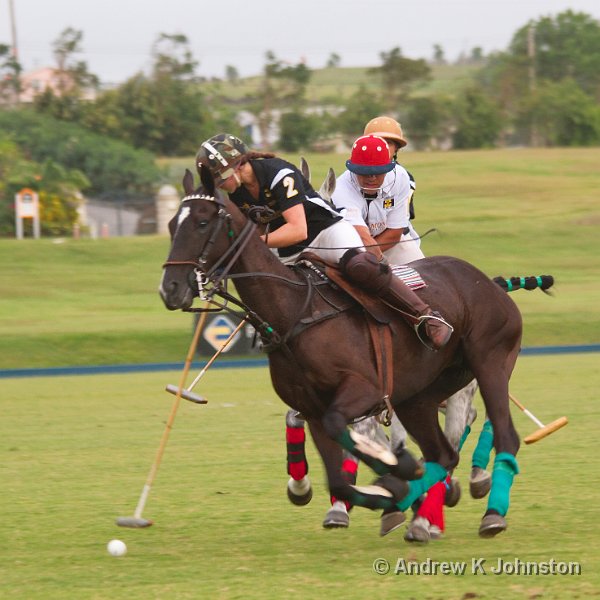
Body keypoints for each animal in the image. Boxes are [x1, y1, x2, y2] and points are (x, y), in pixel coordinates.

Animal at [161, 166, 524, 536]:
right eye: (173, 224)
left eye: (202, 222)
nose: (170, 289)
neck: (295, 311)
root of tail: (488, 281)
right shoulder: (314, 410)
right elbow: (338, 477)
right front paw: (385, 491)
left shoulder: (365, 390)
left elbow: (352, 435)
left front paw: (395, 472)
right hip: (418, 397)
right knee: (444, 453)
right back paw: (423, 514)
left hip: (490, 363)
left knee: (500, 434)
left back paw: (488, 511)